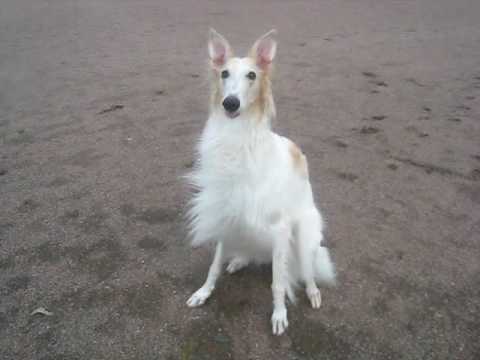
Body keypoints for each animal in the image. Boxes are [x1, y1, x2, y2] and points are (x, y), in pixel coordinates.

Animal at [186, 28, 336, 334]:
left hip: (304, 234)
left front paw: (279, 315)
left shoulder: (280, 228)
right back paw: (239, 260)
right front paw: (203, 292)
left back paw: (313, 291)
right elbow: (214, 266)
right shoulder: (225, 212)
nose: (230, 103)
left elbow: (278, 283)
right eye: (224, 73)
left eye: (252, 75)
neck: (237, 139)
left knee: (306, 270)